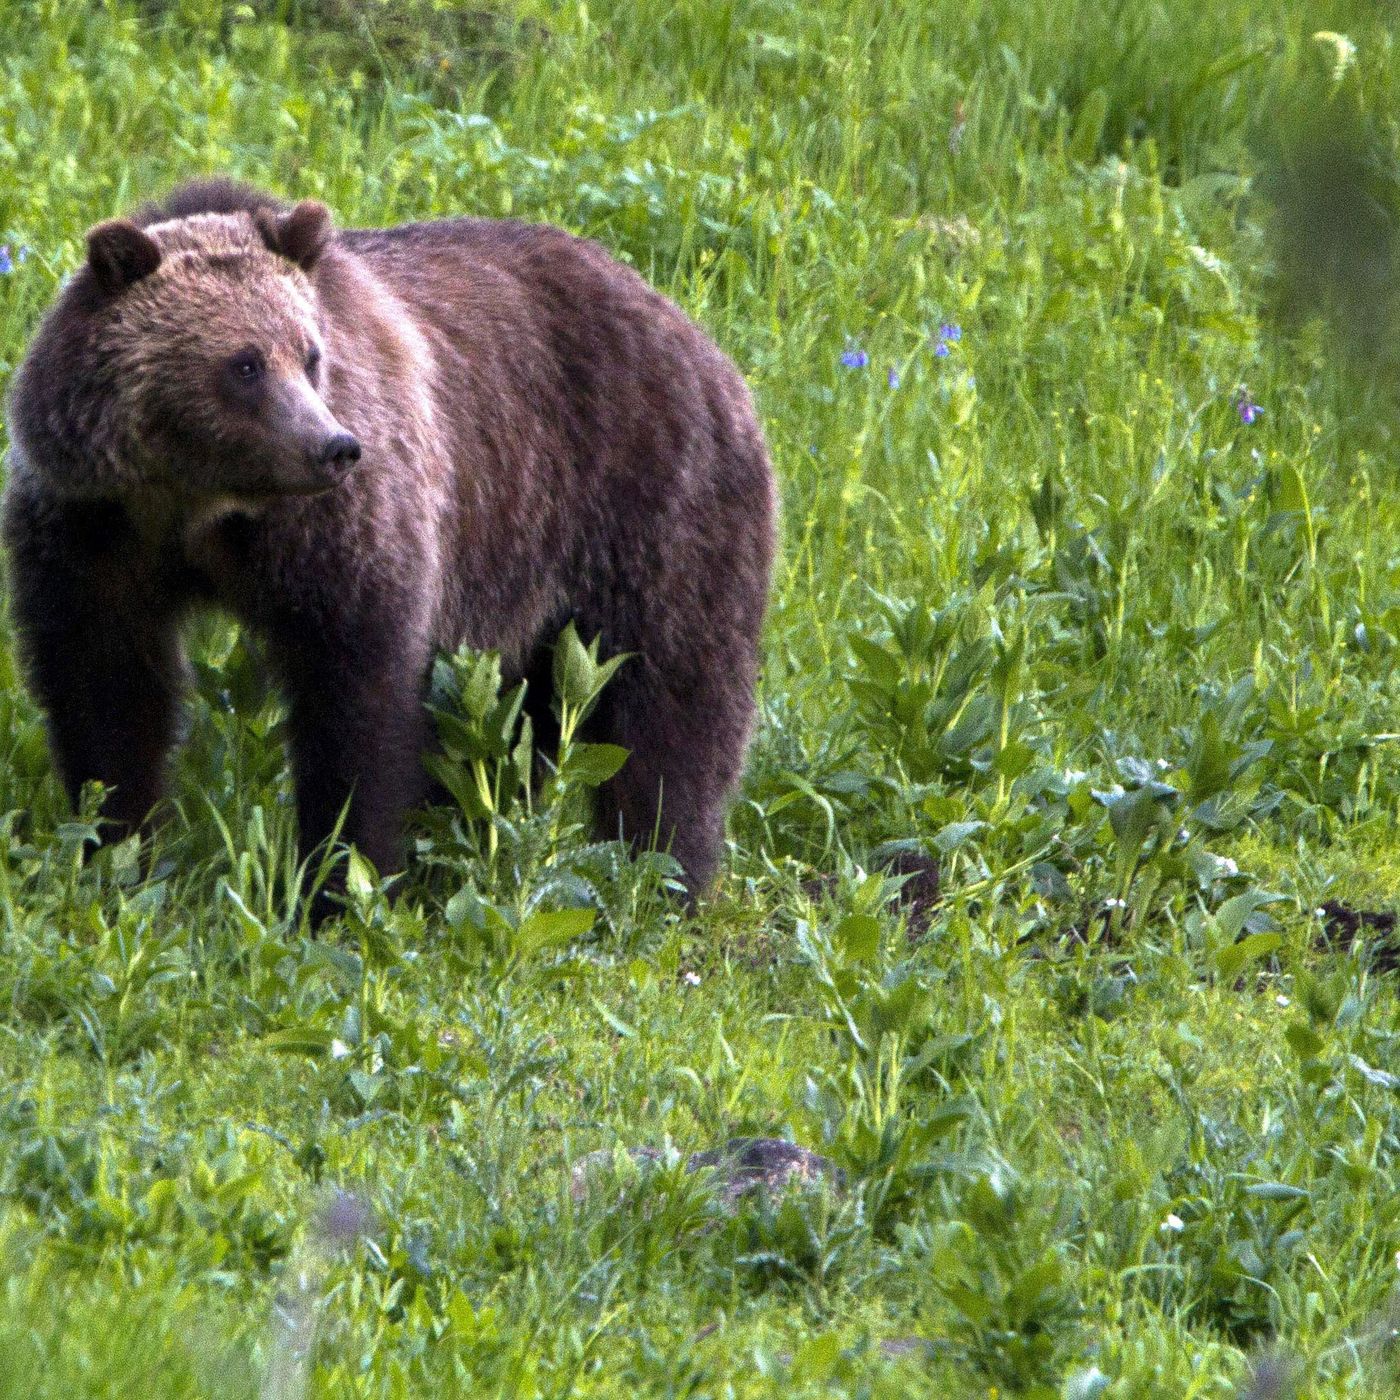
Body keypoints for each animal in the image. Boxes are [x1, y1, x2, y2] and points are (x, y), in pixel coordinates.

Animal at [3, 179, 777, 911]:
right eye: (245, 364)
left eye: (310, 354)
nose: (333, 447)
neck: (199, 504)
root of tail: (695, 333)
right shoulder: (94, 531)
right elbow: (106, 689)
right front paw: (117, 850)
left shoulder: (339, 534)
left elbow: (358, 697)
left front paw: (341, 882)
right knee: (520, 722)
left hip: (651, 505)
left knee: (671, 701)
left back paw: (664, 874)